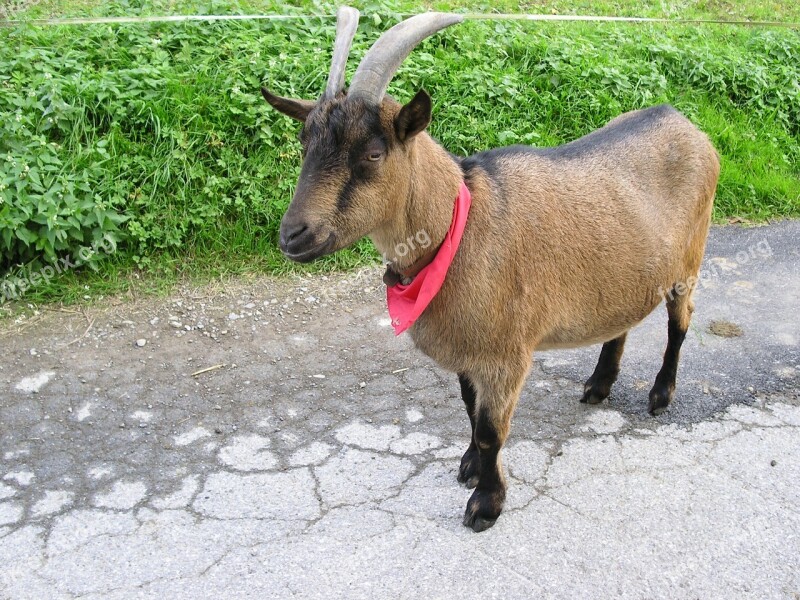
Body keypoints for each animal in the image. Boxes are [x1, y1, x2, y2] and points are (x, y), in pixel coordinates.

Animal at [260, 7, 720, 532]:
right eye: (304, 145)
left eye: (373, 154)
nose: (292, 235)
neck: (457, 227)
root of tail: (681, 120)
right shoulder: (468, 348)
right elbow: (468, 409)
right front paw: (470, 467)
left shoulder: (505, 353)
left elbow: (489, 430)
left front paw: (486, 502)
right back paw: (599, 384)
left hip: (690, 257)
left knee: (680, 321)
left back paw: (661, 395)